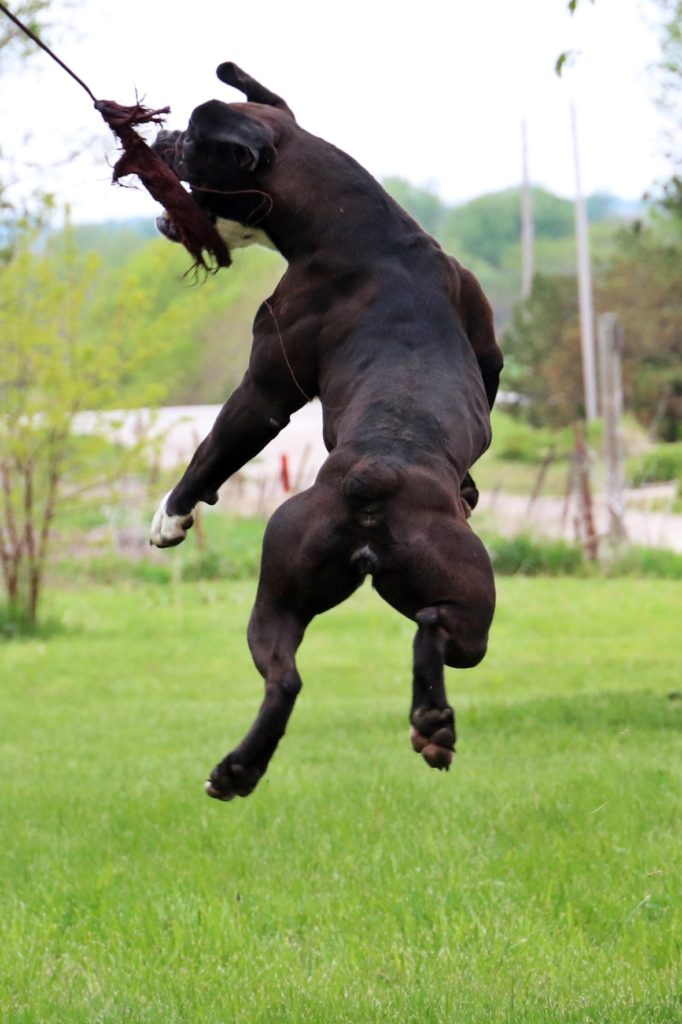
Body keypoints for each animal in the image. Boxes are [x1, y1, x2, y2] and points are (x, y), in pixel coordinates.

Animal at [150, 61, 499, 798]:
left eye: (191, 143)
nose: (160, 137)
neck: (361, 230)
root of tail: (372, 476)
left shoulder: (264, 393)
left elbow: (213, 449)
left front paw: (171, 516)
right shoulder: (485, 351)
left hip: (278, 594)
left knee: (286, 679)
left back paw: (239, 770)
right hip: (459, 603)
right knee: (429, 630)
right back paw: (430, 724)